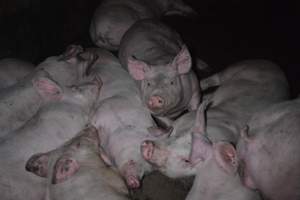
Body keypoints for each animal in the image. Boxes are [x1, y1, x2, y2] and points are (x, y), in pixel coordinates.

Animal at [142, 59, 290, 178]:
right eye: (177, 136)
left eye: (186, 161)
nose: (148, 148)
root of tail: (275, 66)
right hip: (236, 69)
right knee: (212, 79)